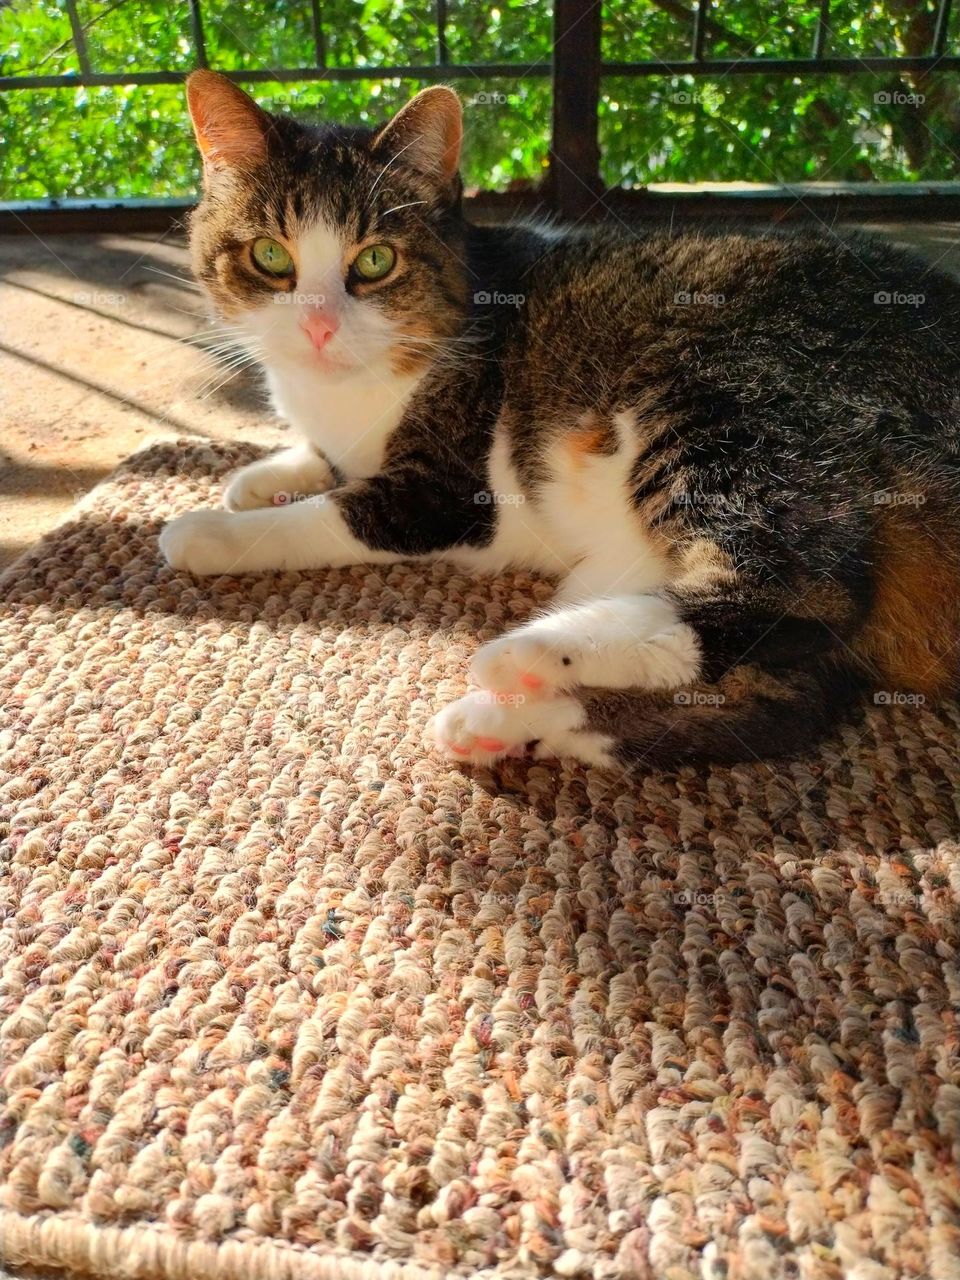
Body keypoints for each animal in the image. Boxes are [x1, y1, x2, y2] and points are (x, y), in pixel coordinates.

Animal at [161, 67, 960, 768]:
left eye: (376, 261)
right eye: (271, 256)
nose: (319, 327)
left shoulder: (444, 494)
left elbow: (330, 513)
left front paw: (212, 529)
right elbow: (317, 460)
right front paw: (263, 474)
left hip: (722, 406)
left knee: (802, 592)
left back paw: (526, 655)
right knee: (780, 705)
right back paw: (509, 721)